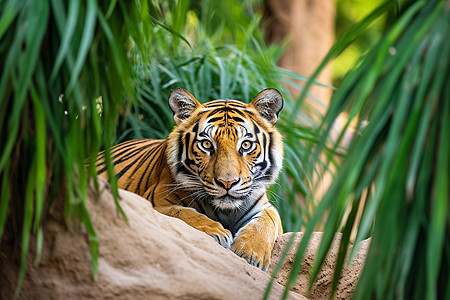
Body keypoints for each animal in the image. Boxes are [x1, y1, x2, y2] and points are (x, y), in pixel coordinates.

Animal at [96, 88, 284, 270]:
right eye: (206, 144)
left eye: (246, 145)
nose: (227, 183)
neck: (226, 211)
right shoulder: (154, 203)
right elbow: (184, 213)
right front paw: (217, 231)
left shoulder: (265, 207)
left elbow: (267, 221)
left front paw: (251, 253)